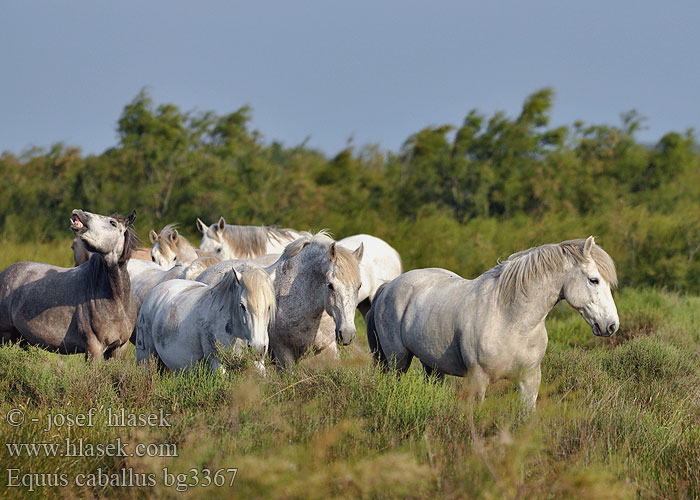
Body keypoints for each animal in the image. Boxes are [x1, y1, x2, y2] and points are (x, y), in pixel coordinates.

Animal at [134, 264, 276, 374]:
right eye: (242, 305)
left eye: (269, 307)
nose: (257, 348)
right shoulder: (218, 363)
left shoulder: (258, 364)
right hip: (146, 359)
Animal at [366, 237, 616, 410]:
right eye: (594, 280)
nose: (611, 325)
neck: (512, 321)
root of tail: (388, 286)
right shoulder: (479, 381)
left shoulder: (530, 379)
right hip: (397, 361)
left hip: (432, 366)